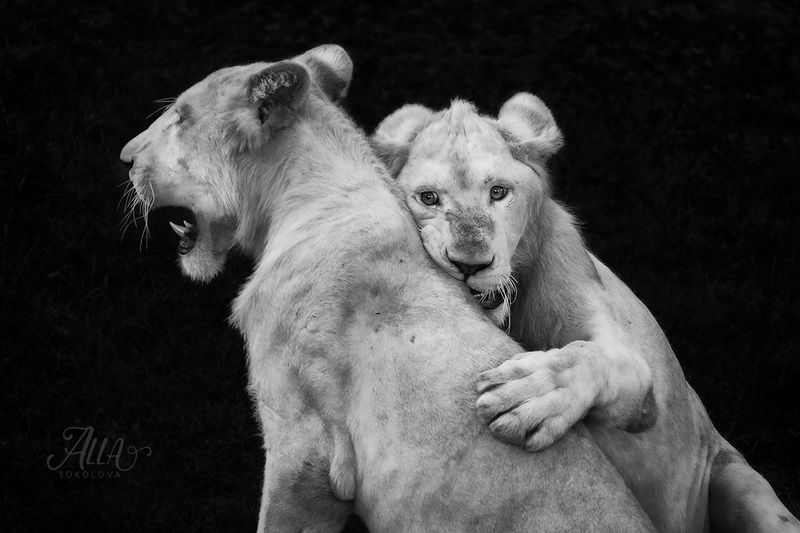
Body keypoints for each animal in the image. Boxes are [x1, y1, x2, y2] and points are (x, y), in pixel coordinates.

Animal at [371, 96, 800, 532]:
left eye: (498, 192)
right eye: (428, 198)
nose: (470, 264)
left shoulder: (640, 385)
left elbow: (596, 357)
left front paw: (534, 392)